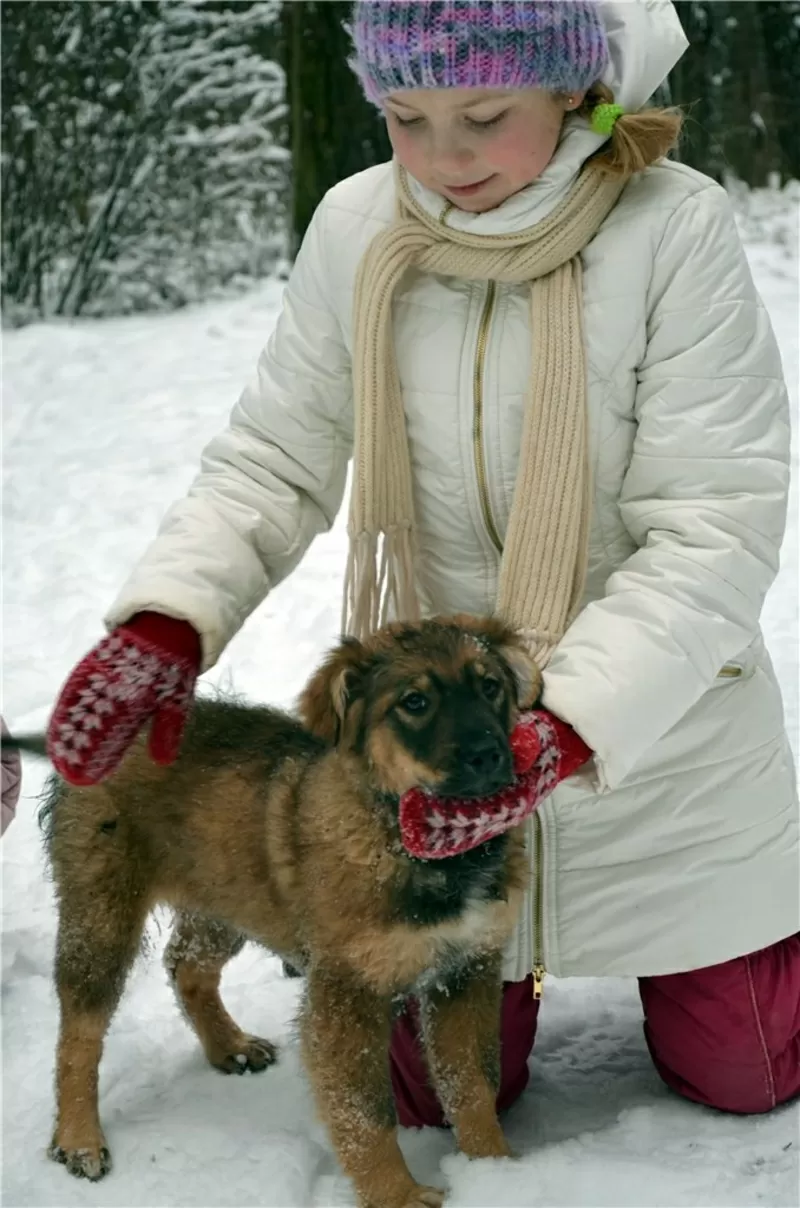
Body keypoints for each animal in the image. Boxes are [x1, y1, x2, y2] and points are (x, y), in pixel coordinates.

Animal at [36, 613, 538, 1208]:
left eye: (491, 687)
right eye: (414, 702)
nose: (490, 756)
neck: (423, 850)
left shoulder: (466, 969)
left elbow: (473, 1084)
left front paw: (496, 1171)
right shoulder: (347, 992)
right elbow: (366, 1115)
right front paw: (396, 1195)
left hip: (225, 896)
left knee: (186, 964)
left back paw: (229, 1047)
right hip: (102, 908)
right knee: (79, 1033)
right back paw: (79, 1139)